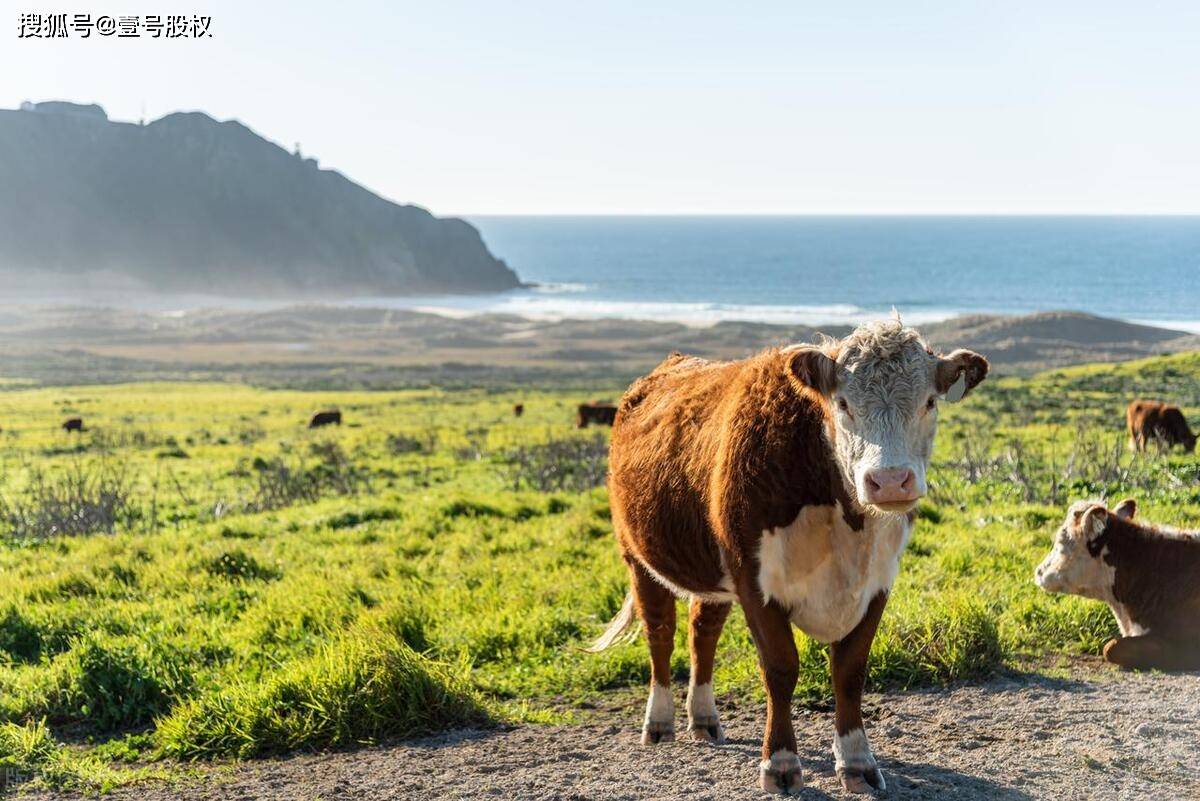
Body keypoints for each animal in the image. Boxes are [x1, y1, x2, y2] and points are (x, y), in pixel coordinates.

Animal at [590, 318, 993, 796]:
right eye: (843, 404)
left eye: (929, 401)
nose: (891, 481)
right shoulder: (754, 580)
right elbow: (781, 669)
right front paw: (780, 762)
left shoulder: (877, 582)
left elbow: (850, 672)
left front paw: (857, 761)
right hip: (636, 556)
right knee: (660, 634)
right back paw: (659, 722)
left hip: (711, 569)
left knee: (702, 633)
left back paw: (704, 719)